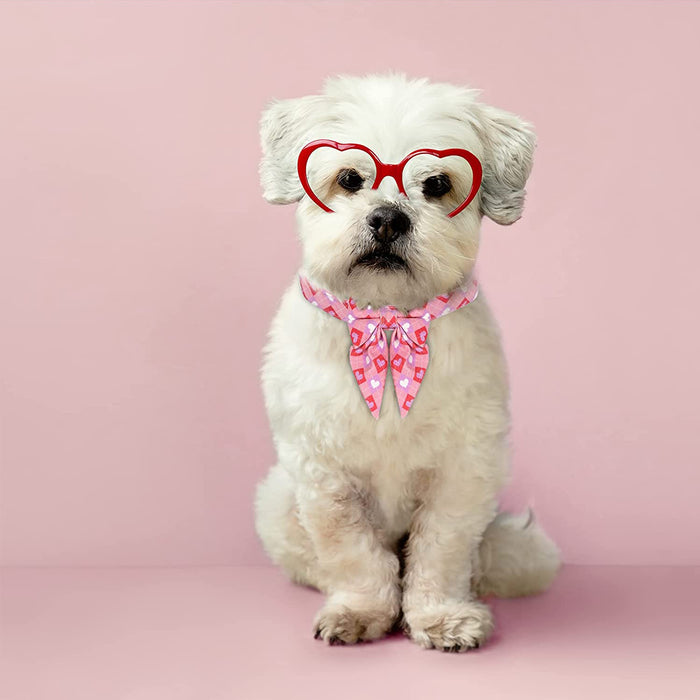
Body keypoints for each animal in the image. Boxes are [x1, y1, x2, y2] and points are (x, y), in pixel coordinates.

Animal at [254, 75, 560, 652]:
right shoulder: (325, 476)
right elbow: (353, 554)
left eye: (437, 184)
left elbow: (440, 552)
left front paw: (443, 618)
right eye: (350, 179)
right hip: (277, 502)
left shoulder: (464, 471)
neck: (389, 320)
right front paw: (360, 611)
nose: (388, 217)